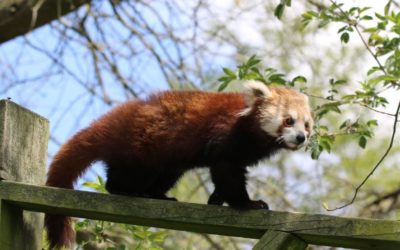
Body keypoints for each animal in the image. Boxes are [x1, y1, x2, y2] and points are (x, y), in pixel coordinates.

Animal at [43, 80, 312, 248]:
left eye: (307, 125)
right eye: (289, 120)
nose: (302, 137)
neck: (250, 128)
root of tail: (115, 121)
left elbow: (225, 178)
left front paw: (216, 199)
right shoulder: (226, 136)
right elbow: (226, 173)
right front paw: (248, 203)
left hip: (165, 162)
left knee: (166, 175)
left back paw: (158, 195)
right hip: (142, 150)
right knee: (125, 176)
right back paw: (127, 190)